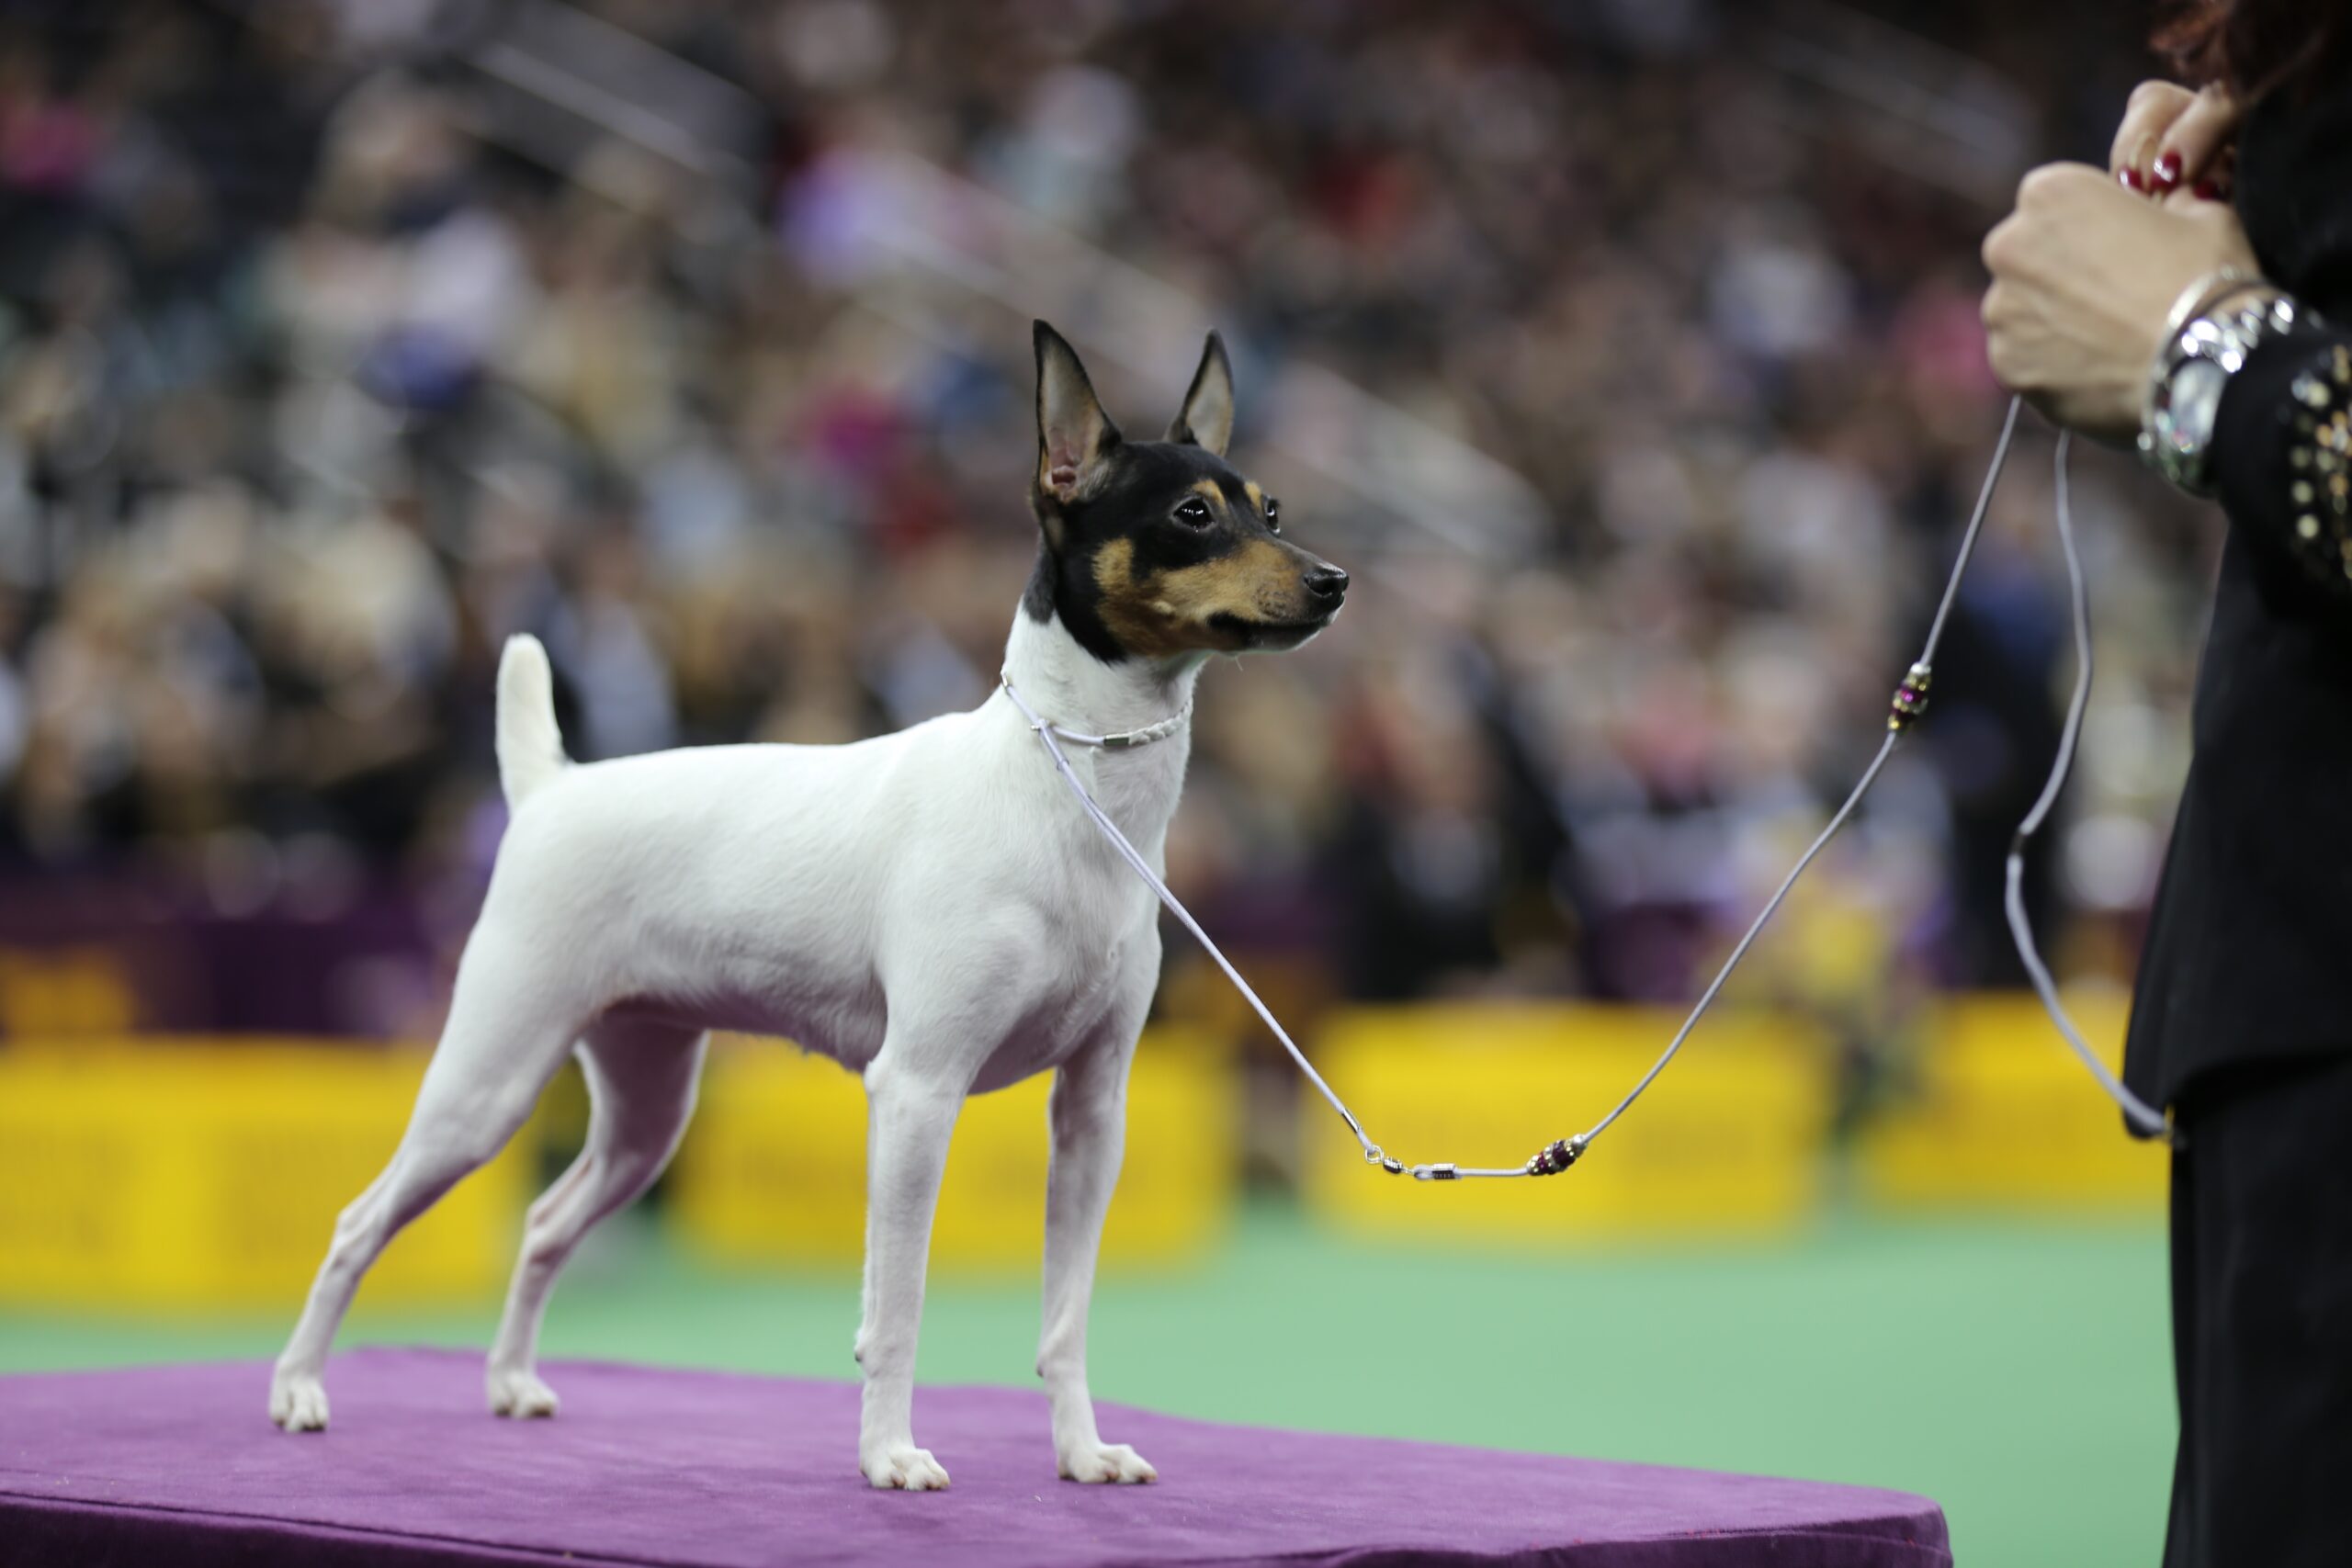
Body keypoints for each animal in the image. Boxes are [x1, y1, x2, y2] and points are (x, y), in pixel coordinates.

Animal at [269, 321, 1354, 1495]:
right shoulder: (917, 1092)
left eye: (1270, 511)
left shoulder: (1092, 1113)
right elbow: (898, 1305)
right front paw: (890, 1455)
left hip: (646, 1109)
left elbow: (1064, 1318)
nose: (1335, 581)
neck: (1071, 788)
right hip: (487, 1085)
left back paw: (509, 1382)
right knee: (355, 1223)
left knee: (548, 1222)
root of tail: (551, 788)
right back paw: (299, 1390)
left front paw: (1079, 1451)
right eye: (1192, 516)